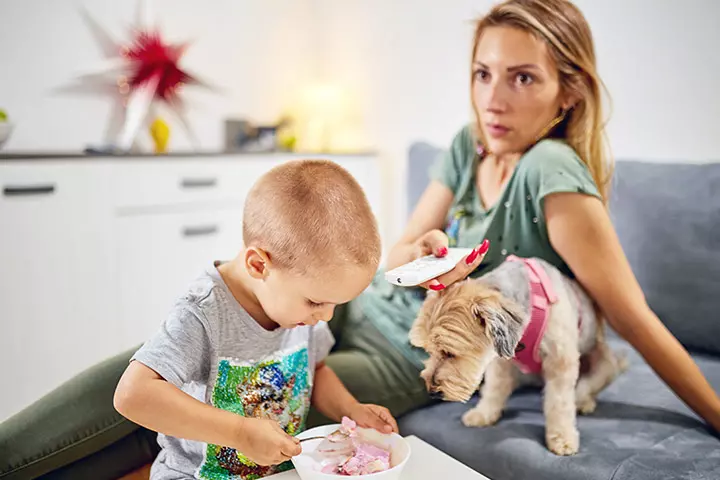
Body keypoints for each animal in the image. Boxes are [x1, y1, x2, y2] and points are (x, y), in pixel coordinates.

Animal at [410, 255, 624, 454]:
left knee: (589, 384)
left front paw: (562, 438)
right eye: (429, 351)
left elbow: (559, 403)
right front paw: (484, 413)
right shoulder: (500, 363)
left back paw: (583, 401)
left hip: (603, 363)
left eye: (449, 353)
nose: (432, 392)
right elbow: (494, 389)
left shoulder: (560, 361)